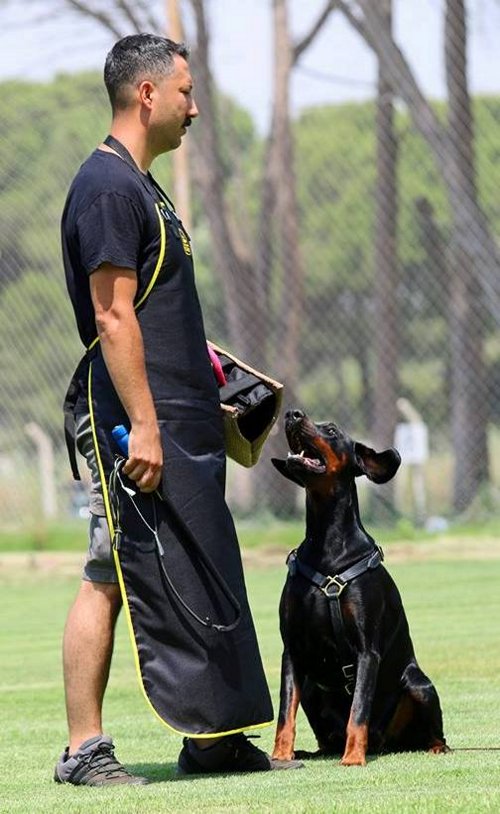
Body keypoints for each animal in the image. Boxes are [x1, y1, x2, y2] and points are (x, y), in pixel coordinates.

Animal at [272, 412, 448, 768]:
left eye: (331, 430)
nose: (292, 414)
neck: (326, 544)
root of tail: (386, 743)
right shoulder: (292, 649)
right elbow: (285, 711)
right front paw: (280, 755)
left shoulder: (367, 650)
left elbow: (359, 708)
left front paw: (353, 757)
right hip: (312, 686)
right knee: (324, 737)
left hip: (419, 685)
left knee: (436, 733)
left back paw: (433, 748)